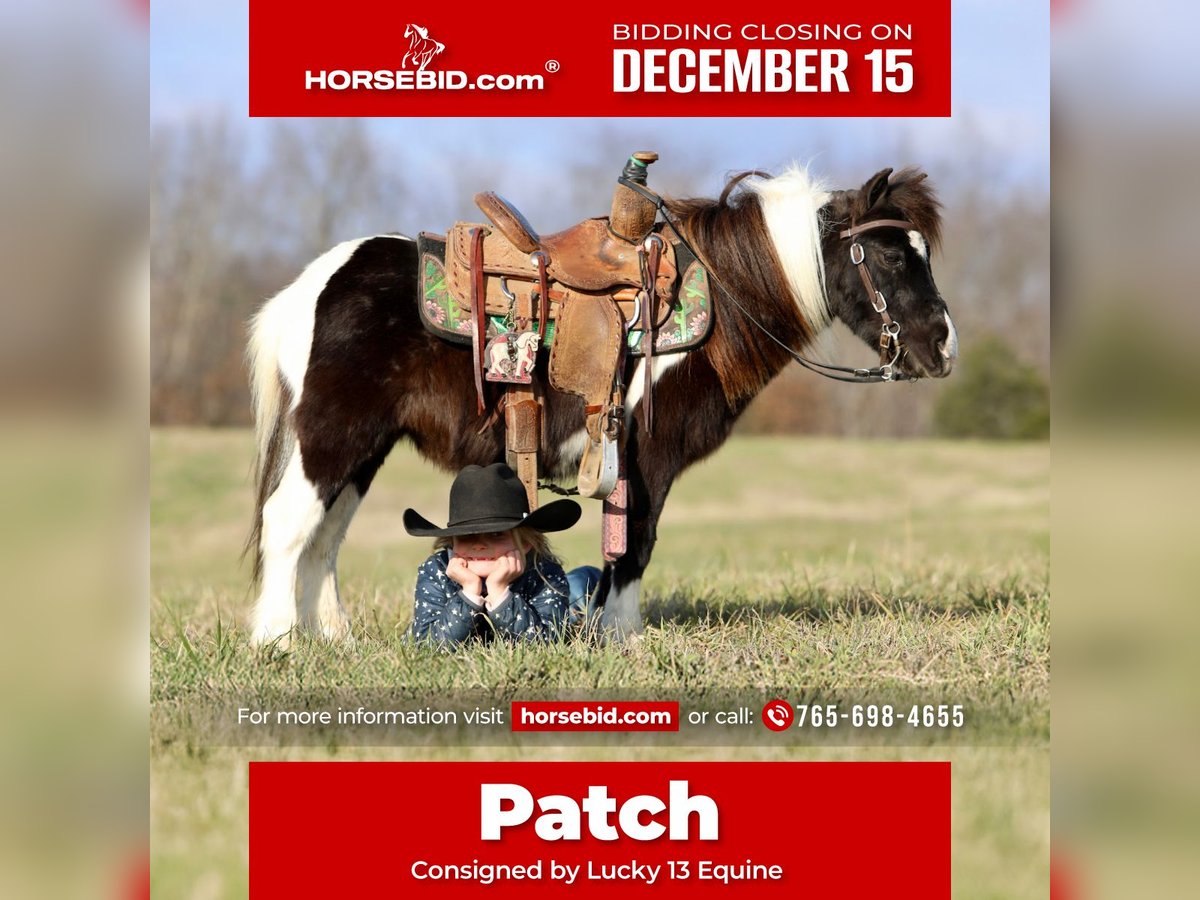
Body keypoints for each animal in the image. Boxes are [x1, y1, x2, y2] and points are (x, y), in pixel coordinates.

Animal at [244, 164, 956, 647]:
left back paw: (333, 636)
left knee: (325, 537)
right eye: (892, 254)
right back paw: (278, 640)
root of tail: (309, 288)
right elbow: (635, 542)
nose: (944, 345)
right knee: (290, 522)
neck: (720, 300)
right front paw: (622, 635)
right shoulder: (647, 458)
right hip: (330, 436)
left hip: (364, 449)